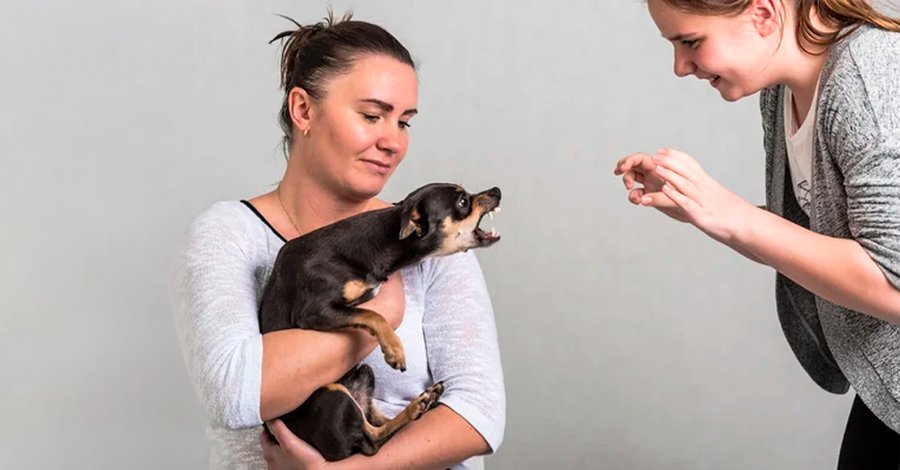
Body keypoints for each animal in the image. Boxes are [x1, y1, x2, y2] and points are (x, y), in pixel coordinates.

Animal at [256, 182, 502, 460]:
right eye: (462, 202)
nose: (496, 190)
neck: (382, 241)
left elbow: (368, 313)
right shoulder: (315, 311)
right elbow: (373, 314)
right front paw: (394, 348)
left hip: (363, 375)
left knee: (377, 422)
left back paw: (425, 401)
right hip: (331, 394)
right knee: (372, 441)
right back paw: (417, 406)